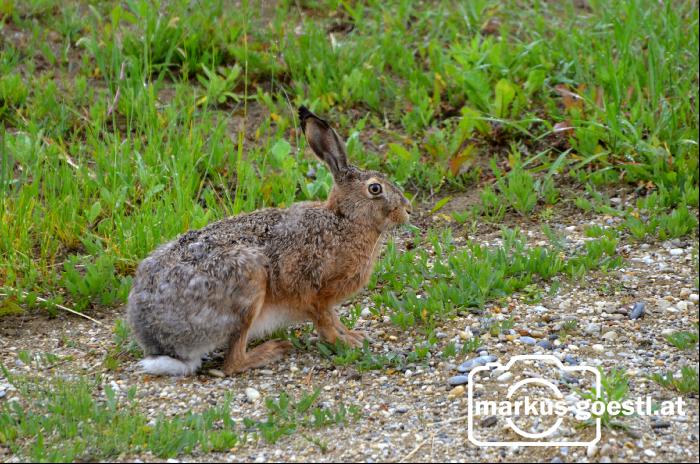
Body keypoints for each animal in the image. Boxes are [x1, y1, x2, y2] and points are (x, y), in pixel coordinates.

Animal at [126, 106, 412, 376]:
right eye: (375, 188)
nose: (407, 209)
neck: (345, 220)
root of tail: (162, 340)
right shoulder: (314, 290)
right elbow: (324, 321)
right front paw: (346, 343)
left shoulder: (326, 300)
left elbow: (334, 318)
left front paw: (353, 335)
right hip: (248, 285)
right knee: (233, 362)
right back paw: (272, 350)